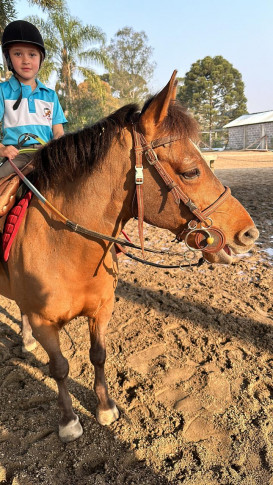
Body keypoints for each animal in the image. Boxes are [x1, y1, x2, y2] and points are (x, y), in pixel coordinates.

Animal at [0, 70, 258, 440]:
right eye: (191, 171)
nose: (249, 233)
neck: (66, 248)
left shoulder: (101, 310)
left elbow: (98, 355)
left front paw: (106, 408)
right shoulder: (44, 323)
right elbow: (60, 368)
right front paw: (68, 421)